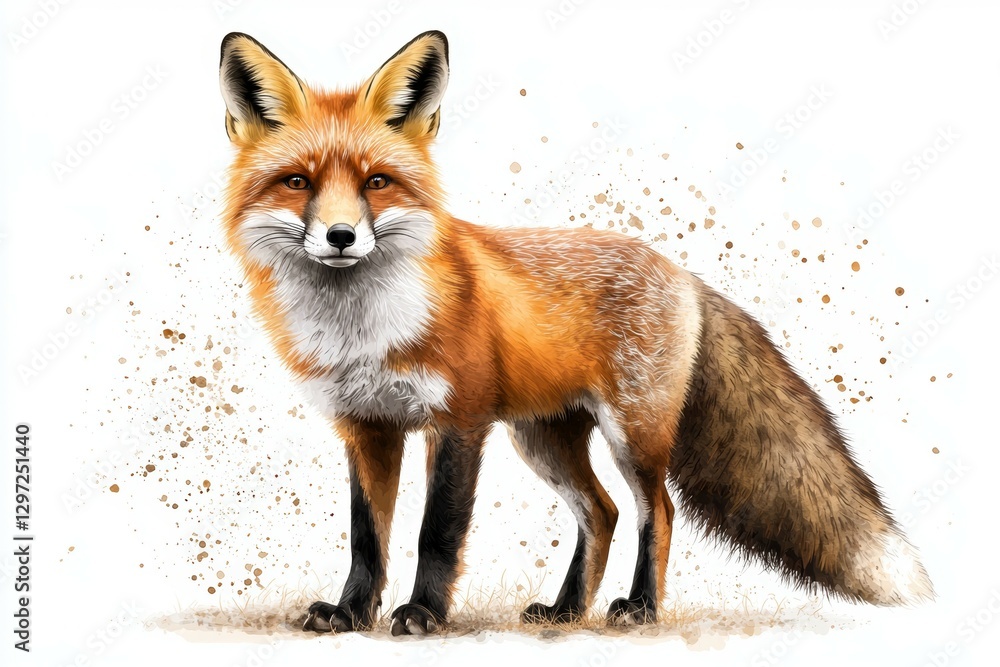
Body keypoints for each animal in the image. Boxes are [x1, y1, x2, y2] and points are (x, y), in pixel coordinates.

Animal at [218, 30, 933, 636]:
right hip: (543, 439)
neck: (364, 329)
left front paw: (423, 614)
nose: (341, 236)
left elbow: (436, 532)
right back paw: (565, 610)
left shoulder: (460, 421)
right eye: (298, 182)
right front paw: (349, 613)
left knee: (656, 510)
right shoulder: (366, 428)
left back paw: (639, 608)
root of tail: (684, 274)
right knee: (602, 513)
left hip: (631, 433)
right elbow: (367, 537)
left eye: (376, 182)